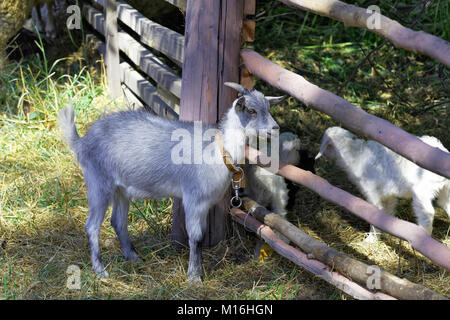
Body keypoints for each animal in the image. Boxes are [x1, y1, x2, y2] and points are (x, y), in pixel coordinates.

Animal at [56, 82, 282, 282]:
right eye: (251, 110)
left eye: (268, 107)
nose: (275, 128)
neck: (218, 149)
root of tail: (82, 141)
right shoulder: (194, 199)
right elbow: (196, 237)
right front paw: (194, 276)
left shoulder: (204, 204)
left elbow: (200, 236)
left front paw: (197, 271)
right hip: (98, 183)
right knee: (92, 226)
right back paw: (100, 270)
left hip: (121, 189)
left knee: (117, 221)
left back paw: (133, 257)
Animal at [316, 126, 450, 241]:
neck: (355, 155)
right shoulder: (389, 195)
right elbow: (387, 213)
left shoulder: (372, 191)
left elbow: (375, 214)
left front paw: (371, 239)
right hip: (445, 190)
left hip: (422, 190)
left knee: (428, 213)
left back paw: (422, 236)